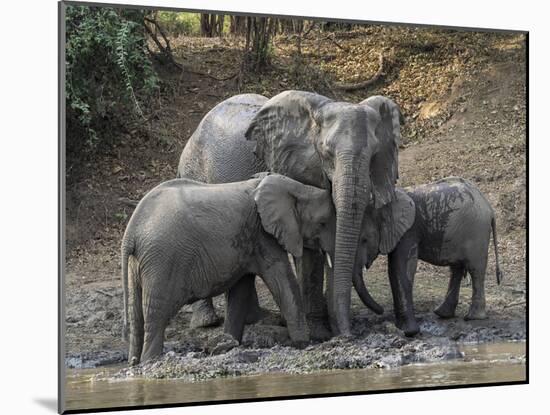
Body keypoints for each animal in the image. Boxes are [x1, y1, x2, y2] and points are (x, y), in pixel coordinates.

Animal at [121, 172, 336, 364]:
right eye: (322, 223)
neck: (296, 187)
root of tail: (131, 231)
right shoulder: (263, 236)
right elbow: (282, 282)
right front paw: (304, 344)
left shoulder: (249, 242)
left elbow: (240, 291)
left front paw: (229, 343)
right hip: (163, 260)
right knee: (156, 315)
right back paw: (150, 360)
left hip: (140, 263)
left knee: (136, 315)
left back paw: (134, 361)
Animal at [179, 91, 404, 338]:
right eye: (327, 153)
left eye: (374, 155)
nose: (348, 335)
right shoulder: (297, 166)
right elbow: (308, 250)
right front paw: (319, 334)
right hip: (193, 170)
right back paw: (207, 322)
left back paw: (259, 318)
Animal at [358, 177, 504, 336]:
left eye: (364, 240)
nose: (381, 310)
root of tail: (490, 209)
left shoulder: (409, 231)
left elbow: (400, 268)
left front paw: (408, 331)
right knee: (457, 268)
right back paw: (443, 313)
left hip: (476, 232)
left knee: (475, 269)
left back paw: (473, 317)